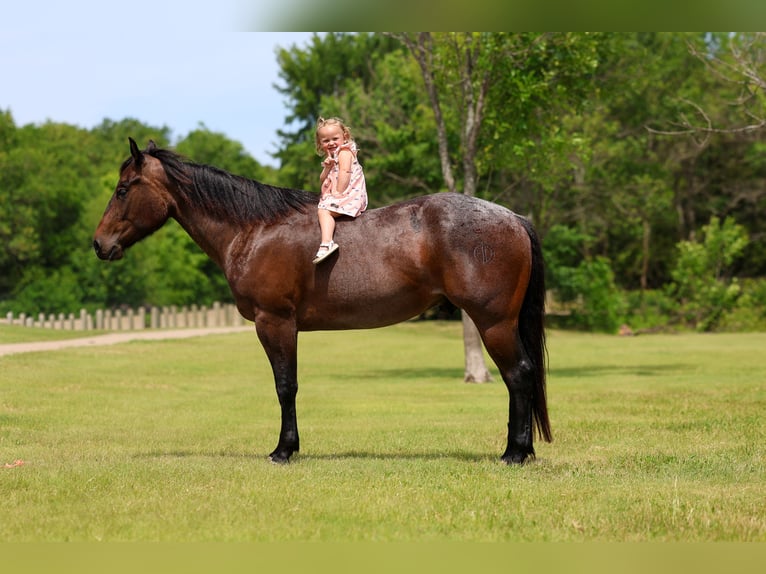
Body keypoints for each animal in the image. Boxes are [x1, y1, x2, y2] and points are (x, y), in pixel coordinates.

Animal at [93, 138, 551, 465]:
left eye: (122, 189)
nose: (99, 244)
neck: (253, 229)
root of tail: (514, 218)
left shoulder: (275, 322)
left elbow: (285, 386)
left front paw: (283, 450)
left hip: (493, 323)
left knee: (519, 375)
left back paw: (515, 454)